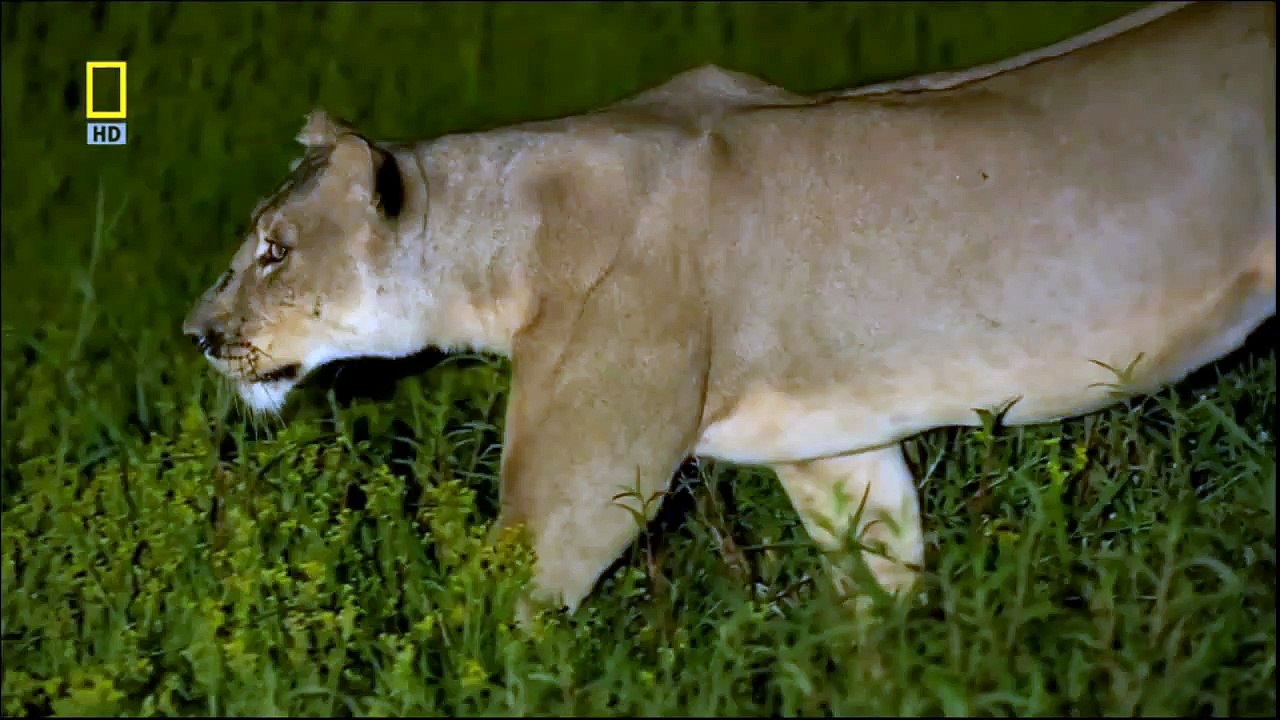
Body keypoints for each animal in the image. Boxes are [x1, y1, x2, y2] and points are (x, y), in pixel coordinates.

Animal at [184, 1, 1275, 619]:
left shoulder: (576, 501)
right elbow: (880, 589)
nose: (195, 334)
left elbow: (499, 625)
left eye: (274, 250)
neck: (502, 243)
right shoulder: (833, 454)